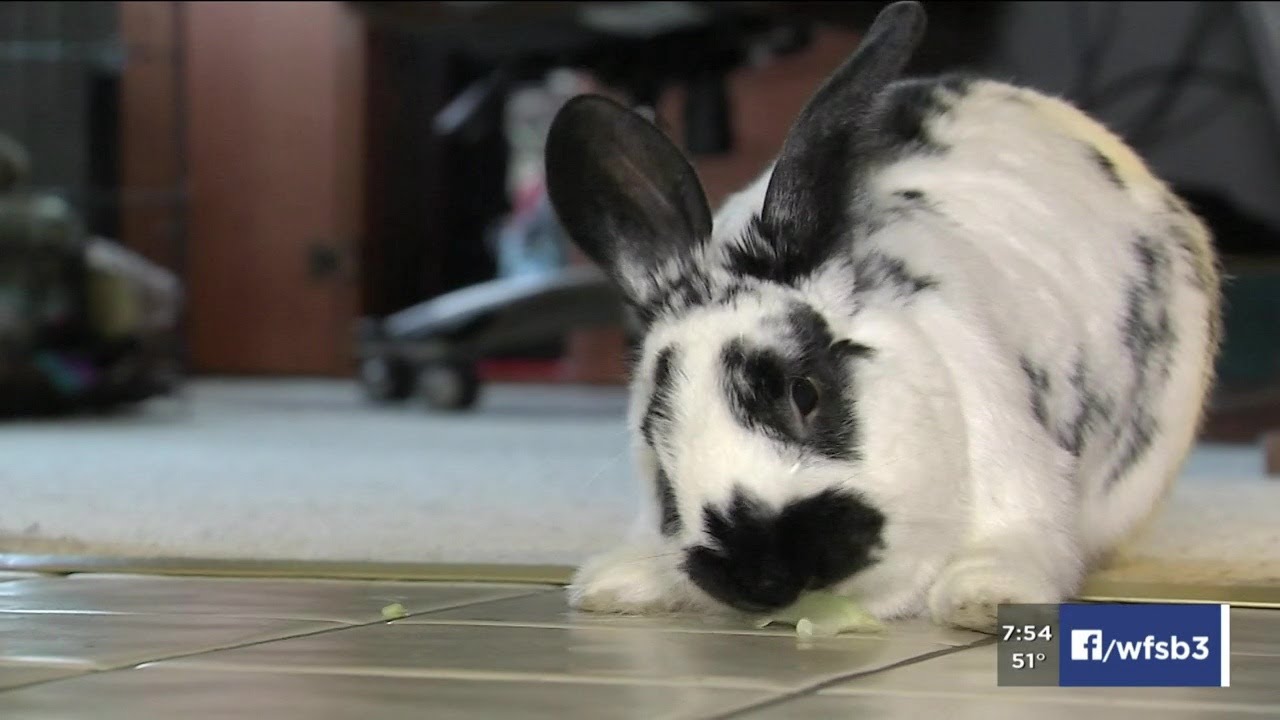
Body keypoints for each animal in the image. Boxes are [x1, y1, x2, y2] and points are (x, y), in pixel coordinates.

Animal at [542, 0, 1222, 633]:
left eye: (805, 393)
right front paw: (617, 582)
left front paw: (984, 596)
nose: (764, 573)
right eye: (657, 444)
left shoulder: (1025, 485)